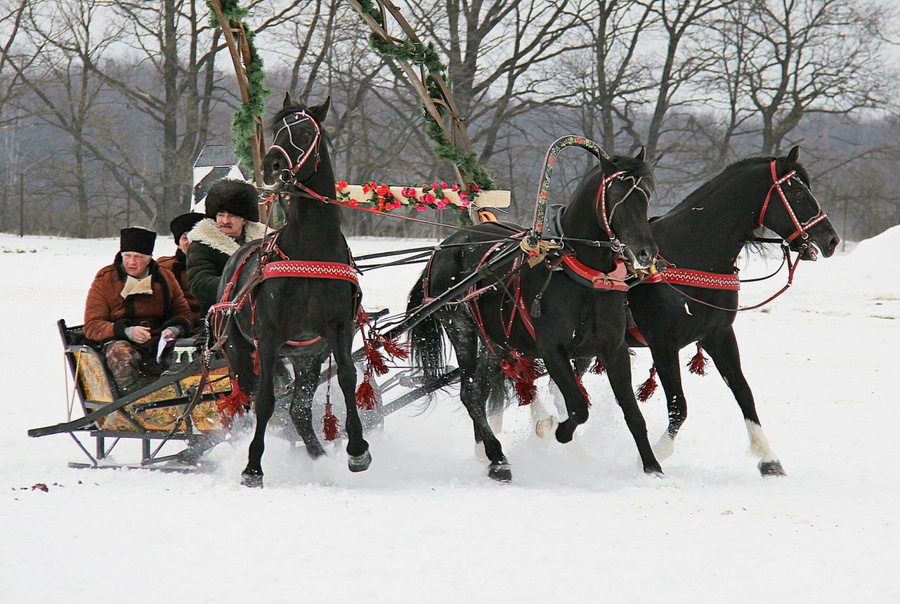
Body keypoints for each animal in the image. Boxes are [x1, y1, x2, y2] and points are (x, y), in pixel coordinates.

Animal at [214, 94, 370, 488]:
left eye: (304, 132)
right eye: (276, 131)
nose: (272, 163)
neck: (310, 250)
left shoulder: (338, 330)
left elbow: (347, 377)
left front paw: (357, 449)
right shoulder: (269, 335)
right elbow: (266, 400)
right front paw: (253, 467)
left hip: (306, 355)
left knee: (299, 409)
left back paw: (318, 456)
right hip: (238, 348)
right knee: (247, 396)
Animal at [408, 147, 660, 482]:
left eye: (645, 195)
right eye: (617, 194)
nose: (646, 251)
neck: (582, 273)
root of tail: (443, 248)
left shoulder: (612, 349)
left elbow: (632, 412)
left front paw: (652, 467)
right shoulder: (552, 349)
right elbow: (577, 405)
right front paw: (556, 430)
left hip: (494, 340)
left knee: (482, 389)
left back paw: (485, 449)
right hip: (461, 326)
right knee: (470, 392)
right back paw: (497, 458)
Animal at [624, 146, 840, 476]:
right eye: (798, 193)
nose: (831, 240)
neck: (691, 254)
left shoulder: (719, 336)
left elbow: (743, 392)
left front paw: (768, 458)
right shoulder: (663, 344)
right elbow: (678, 405)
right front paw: (655, 454)